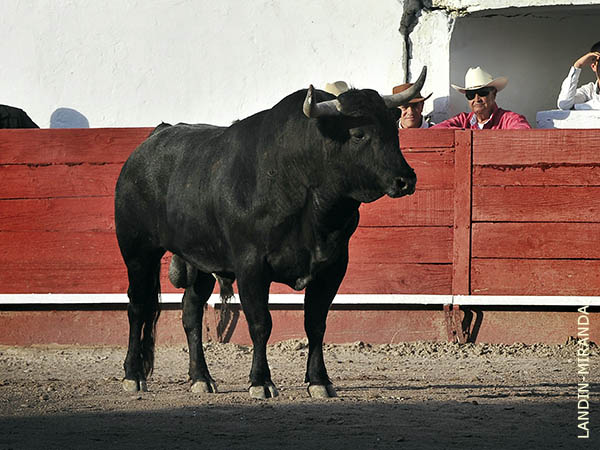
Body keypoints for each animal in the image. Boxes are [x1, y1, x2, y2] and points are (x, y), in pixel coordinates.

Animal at [116, 67, 426, 398]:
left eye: (393, 131)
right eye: (358, 134)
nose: (405, 179)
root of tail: (152, 139)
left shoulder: (332, 266)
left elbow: (316, 323)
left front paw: (319, 380)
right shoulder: (251, 266)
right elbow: (260, 323)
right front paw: (261, 381)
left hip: (199, 258)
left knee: (191, 311)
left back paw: (201, 378)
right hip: (138, 252)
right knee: (137, 306)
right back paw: (133, 375)